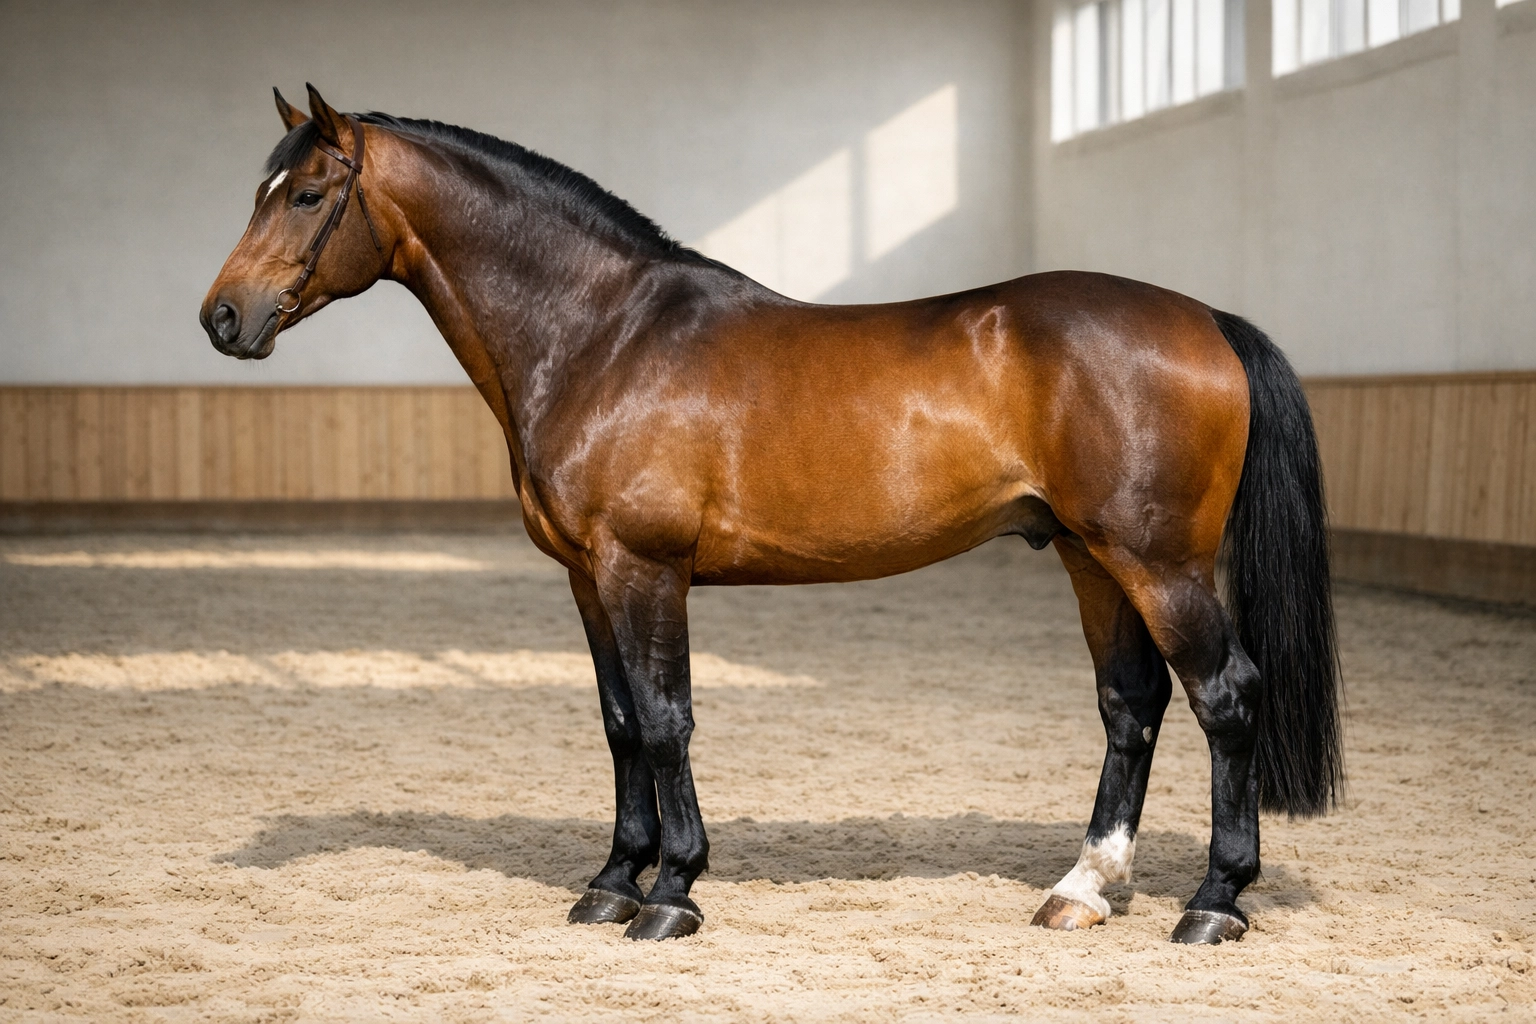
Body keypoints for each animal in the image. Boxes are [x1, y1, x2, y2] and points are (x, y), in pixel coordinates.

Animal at [201, 85, 1342, 944]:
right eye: (260, 189)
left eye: (308, 194)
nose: (223, 317)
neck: (603, 334)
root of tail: (1207, 320)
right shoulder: (587, 577)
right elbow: (620, 723)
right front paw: (611, 881)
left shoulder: (645, 568)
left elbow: (667, 720)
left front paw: (671, 893)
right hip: (1092, 558)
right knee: (1130, 705)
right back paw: (1083, 888)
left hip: (1160, 563)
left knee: (1226, 697)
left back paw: (1213, 902)